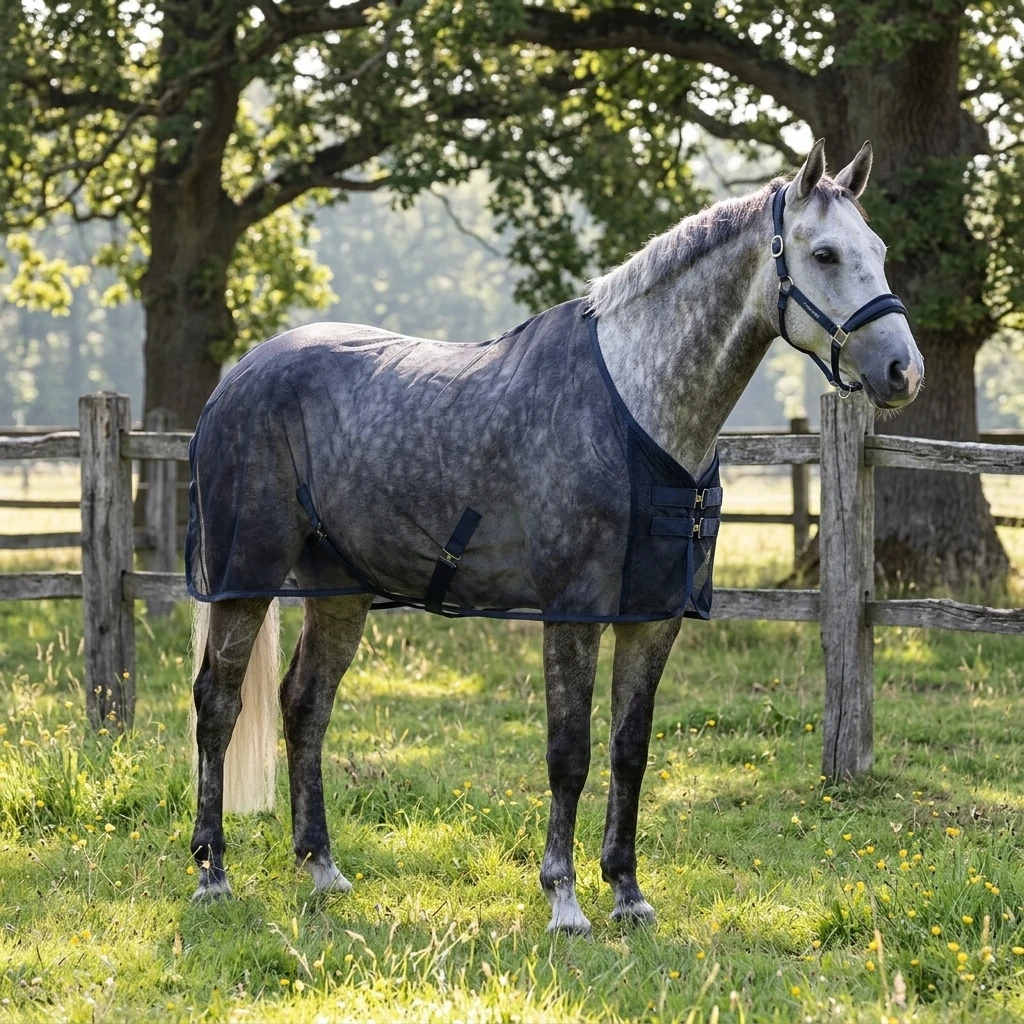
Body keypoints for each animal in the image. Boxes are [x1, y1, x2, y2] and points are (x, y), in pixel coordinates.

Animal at [187, 139, 924, 934]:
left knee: (305, 704)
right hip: (244, 579)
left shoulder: (653, 617)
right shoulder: (573, 612)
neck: (636, 406)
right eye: (824, 254)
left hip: (339, 592)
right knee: (218, 705)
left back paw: (322, 868)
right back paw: (212, 873)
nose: (903, 371)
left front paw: (628, 892)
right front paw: (563, 899)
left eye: (880, 251)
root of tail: (235, 379)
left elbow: (630, 750)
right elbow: (568, 753)